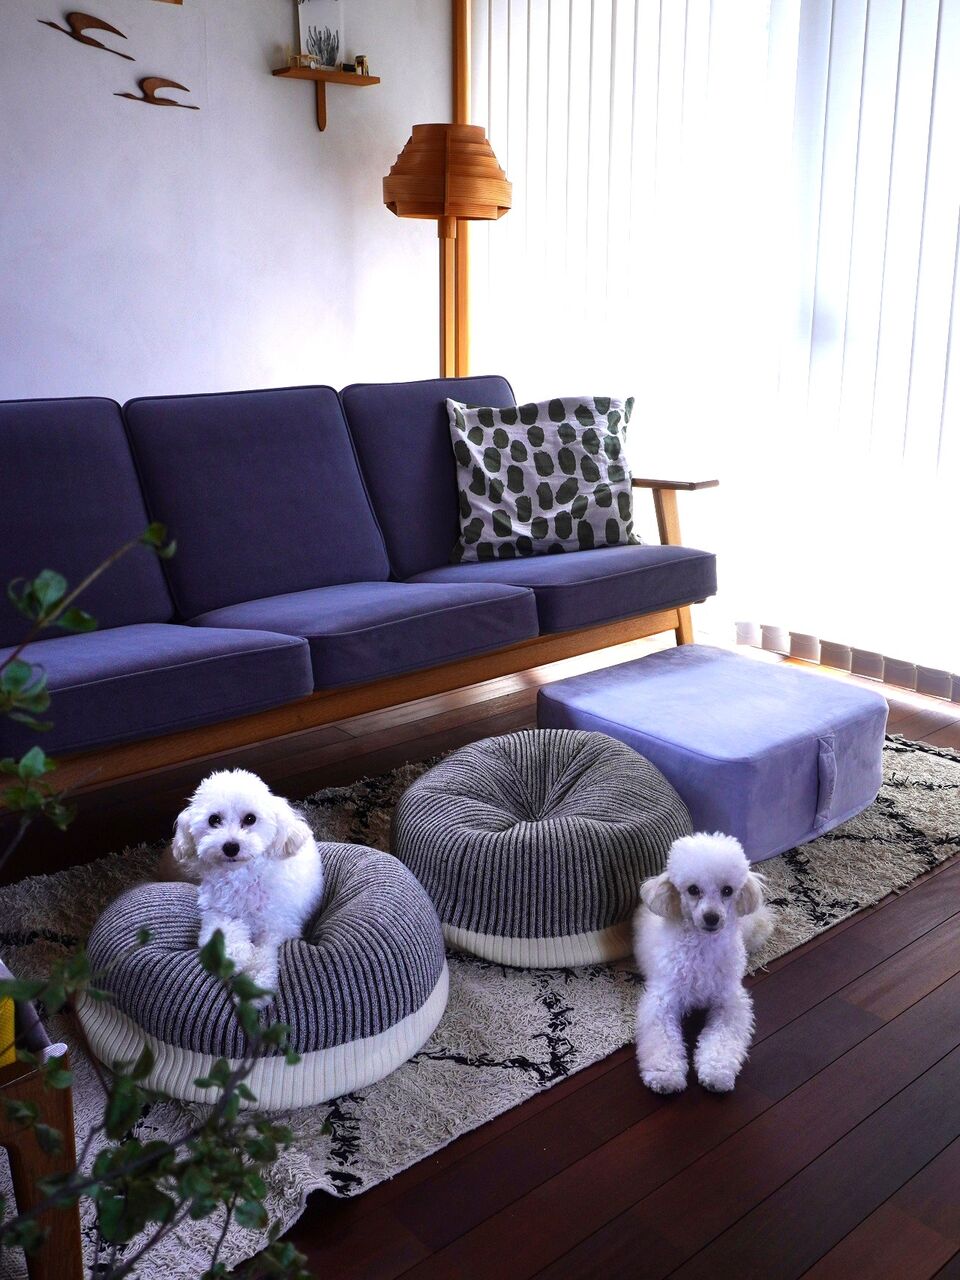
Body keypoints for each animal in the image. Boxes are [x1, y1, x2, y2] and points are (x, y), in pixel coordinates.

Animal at [169, 769, 324, 995]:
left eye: (250, 818)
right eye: (214, 820)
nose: (231, 847)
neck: (242, 878)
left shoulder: (277, 925)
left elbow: (263, 952)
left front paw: (255, 984)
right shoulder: (218, 912)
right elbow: (225, 929)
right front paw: (231, 956)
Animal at [633, 832, 774, 1094]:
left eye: (727, 890)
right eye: (693, 889)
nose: (712, 917)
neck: (702, 947)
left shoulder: (729, 1001)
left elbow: (722, 1039)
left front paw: (717, 1072)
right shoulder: (663, 1000)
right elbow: (662, 1038)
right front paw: (665, 1074)